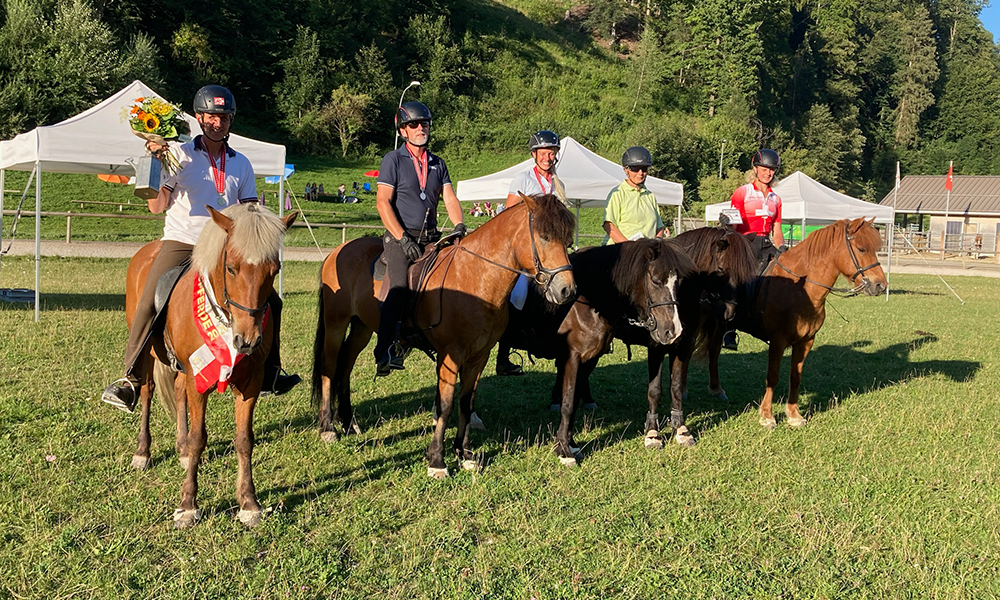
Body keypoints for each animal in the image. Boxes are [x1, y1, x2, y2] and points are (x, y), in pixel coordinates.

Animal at [125, 204, 296, 528]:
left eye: (275, 270)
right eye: (231, 268)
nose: (247, 341)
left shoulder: (250, 383)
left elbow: (244, 440)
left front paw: (249, 503)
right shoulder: (199, 378)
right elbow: (198, 439)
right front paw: (188, 505)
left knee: (178, 392)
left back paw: (179, 449)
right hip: (148, 351)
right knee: (147, 392)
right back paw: (142, 451)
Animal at [312, 195, 580, 480]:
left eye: (567, 240)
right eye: (544, 236)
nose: (567, 290)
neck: (475, 276)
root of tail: (338, 251)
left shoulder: (478, 356)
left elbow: (465, 402)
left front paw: (464, 454)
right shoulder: (450, 355)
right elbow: (446, 405)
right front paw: (437, 461)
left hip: (362, 326)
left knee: (346, 366)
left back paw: (348, 422)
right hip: (336, 323)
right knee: (329, 366)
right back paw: (328, 427)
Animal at [712, 218, 892, 428]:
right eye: (862, 249)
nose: (880, 285)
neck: (800, 289)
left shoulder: (805, 342)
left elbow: (795, 377)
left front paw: (794, 415)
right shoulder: (778, 341)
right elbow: (772, 376)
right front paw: (767, 416)